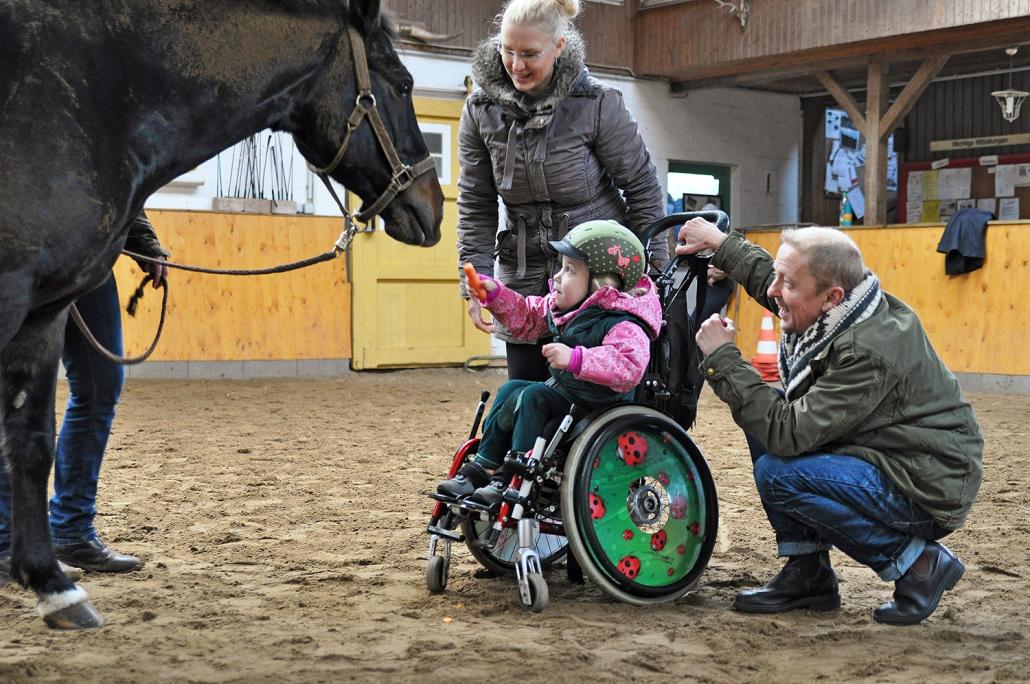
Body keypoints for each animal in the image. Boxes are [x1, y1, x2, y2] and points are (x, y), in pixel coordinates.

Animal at [0, 0, 442, 626]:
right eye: (402, 84)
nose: (433, 209)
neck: (92, 95)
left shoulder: (44, 313)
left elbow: (31, 444)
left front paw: (51, 584)